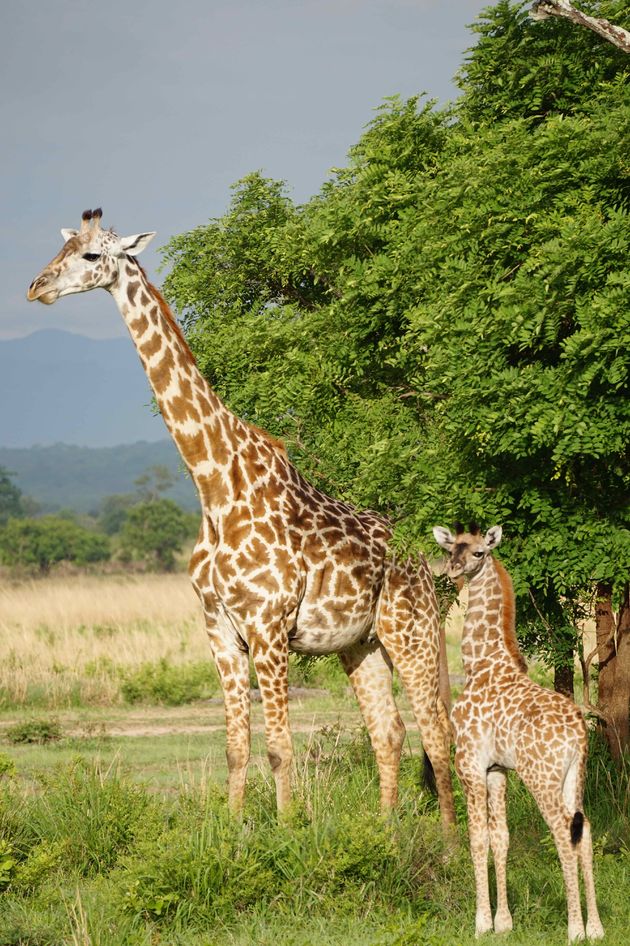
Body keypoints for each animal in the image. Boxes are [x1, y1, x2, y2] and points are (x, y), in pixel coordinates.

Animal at [27, 208, 456, 824]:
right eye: (61, 249)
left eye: (90, 256)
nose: (36, 287)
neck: (213, 485)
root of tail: (420, 555)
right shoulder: (219, 629)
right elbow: (236, 747)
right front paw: (234, 835)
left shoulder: (268, 625)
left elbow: (278, 747)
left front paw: (289, 832)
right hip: (360, 642)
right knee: (389, 730)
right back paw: (384, 832)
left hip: (412, 629)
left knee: (437, 732)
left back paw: (447, 841)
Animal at [434, 520, 608, 940]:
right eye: (452, 548)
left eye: (479, 551)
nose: (453, 569)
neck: (480, 663)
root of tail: (579, 733)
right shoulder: (498, 770)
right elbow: (501, 837)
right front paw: (504, 923)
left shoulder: (469, 764)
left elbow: (477, 837)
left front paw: (481, 923)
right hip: (573, 776)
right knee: (585, 830)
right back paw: (596, 928)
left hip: (541, 776)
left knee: (563, 833)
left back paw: (574, 929)